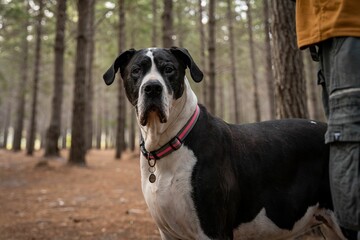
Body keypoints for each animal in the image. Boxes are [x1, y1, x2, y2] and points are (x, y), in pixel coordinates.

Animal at [102, 47, 348, 240]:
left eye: (169, 69)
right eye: (136, 71)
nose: (152, 87)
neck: (171, 140)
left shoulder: (213, 230)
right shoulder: (169, 233)